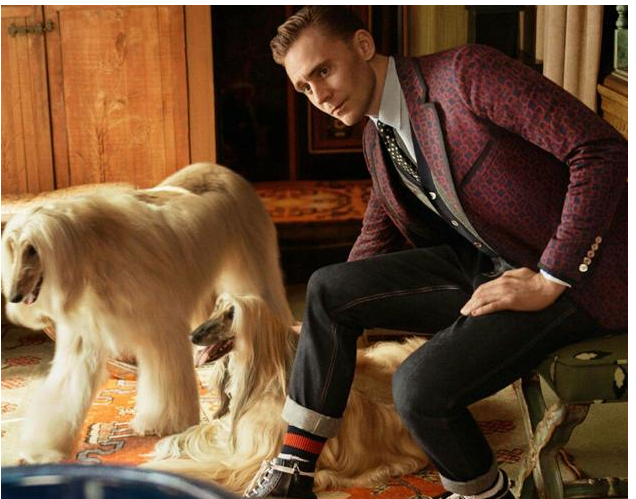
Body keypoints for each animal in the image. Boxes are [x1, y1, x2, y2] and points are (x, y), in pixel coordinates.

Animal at [1, 162, 293, 464]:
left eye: (32, 249)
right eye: (12, 248)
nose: (14, 296)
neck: (94, 258)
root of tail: (219, 168)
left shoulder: (161, 325)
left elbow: (166, 379)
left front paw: (164, 422)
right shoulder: (85, 335)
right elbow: (65, 387)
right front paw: (41, 448)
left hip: (250, 264)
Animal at [147, 292, 429, 493]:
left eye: (231, 314)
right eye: (216, 308)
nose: (192, 336)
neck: (265, 378)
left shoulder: (250, 461)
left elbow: (203, 466)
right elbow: (201, 431)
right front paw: (171, 442)